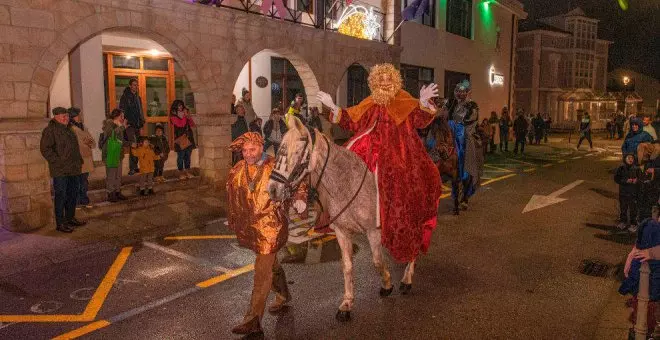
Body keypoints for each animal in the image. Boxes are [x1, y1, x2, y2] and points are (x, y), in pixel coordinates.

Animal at [264, 118, 416, 322]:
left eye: (296, 152)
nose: (272, 189)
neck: (346, 183)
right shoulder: (342, 231)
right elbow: (347, 266)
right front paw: (347, 304)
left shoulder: (373, 230)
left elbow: (377, 261)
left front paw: (387, 284)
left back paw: (407, 278)